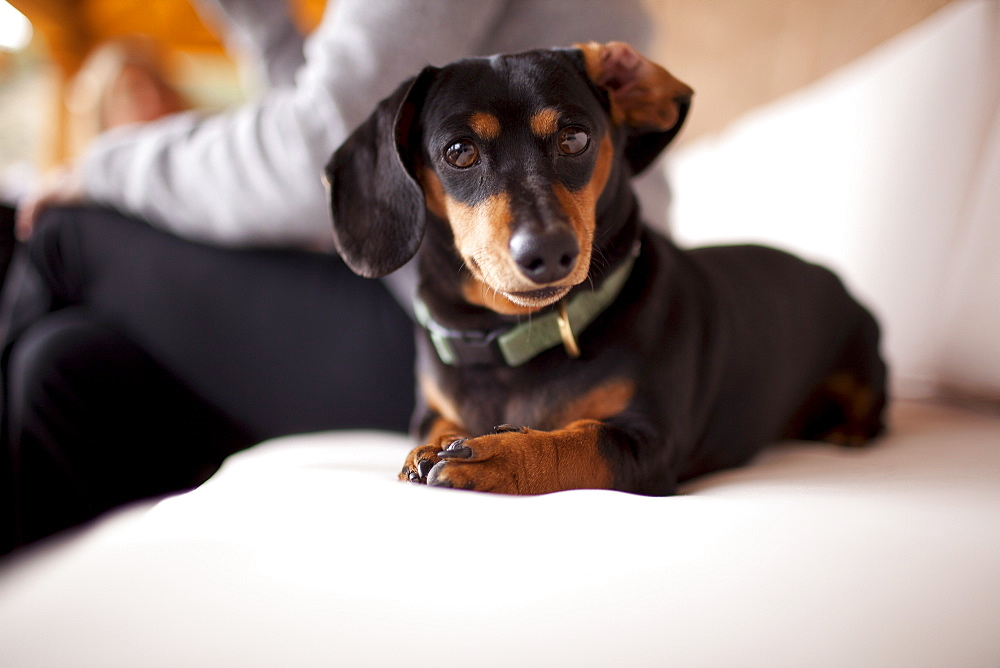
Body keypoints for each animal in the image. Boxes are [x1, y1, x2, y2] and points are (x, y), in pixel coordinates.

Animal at [326, 39, 884, 494]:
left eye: (574, 139)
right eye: (459, 152)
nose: (548, 251)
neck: (512, 341)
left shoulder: (652, 444)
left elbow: (580, 442)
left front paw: (499, 458)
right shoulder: (430, 408)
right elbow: (438, 427)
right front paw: (429, 451)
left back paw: (849, 431)